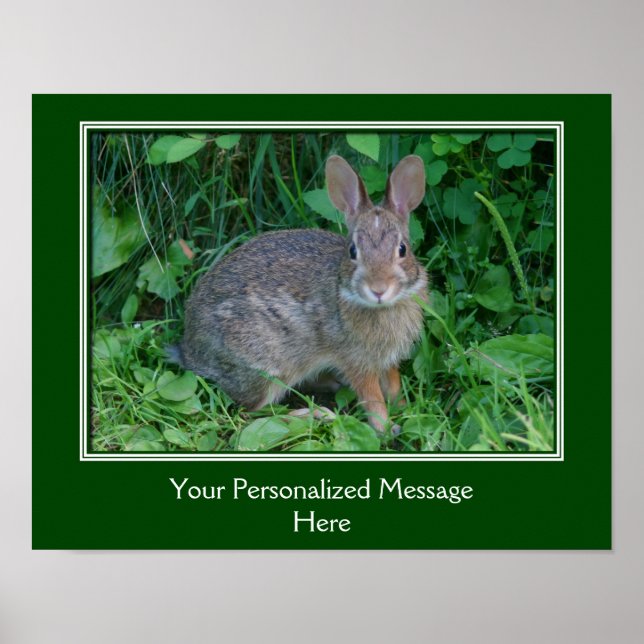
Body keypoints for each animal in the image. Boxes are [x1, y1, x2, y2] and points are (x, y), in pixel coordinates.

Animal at [169, 154, 428, 433]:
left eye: (402, 249)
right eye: (352, 251)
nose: (378, 289)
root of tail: (190, 351)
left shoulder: (387, 360)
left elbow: (393, 385)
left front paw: (406, 410)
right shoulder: (357, 361)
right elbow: (373, 398)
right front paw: (385, 429)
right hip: (268, 367)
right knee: (251, 415)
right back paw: (316, 414)